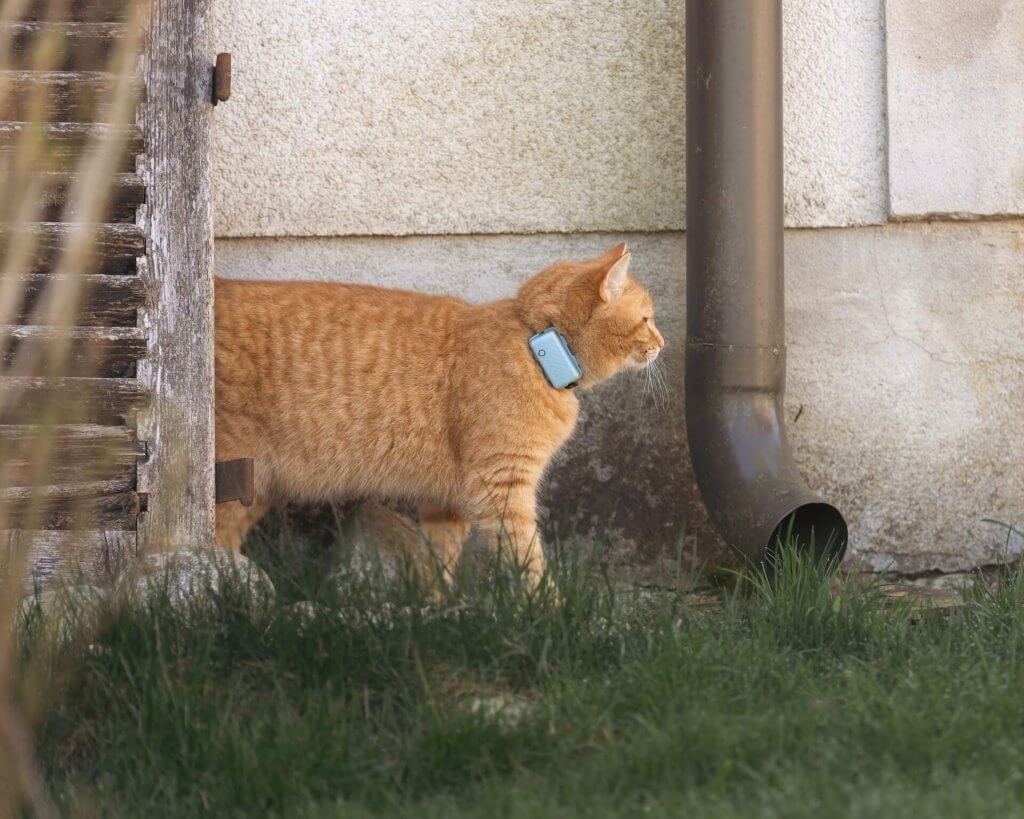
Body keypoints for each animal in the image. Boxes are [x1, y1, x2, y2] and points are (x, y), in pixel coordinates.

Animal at [214, 239, 663, 585]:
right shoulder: (500, 485)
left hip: (257, 489)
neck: (535, 344)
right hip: (234, 476)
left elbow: (438, 560)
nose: (662, 342)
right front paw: (546, 611)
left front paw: (436, 609)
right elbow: (526, 558)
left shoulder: (446, 501)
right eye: (647, 320)